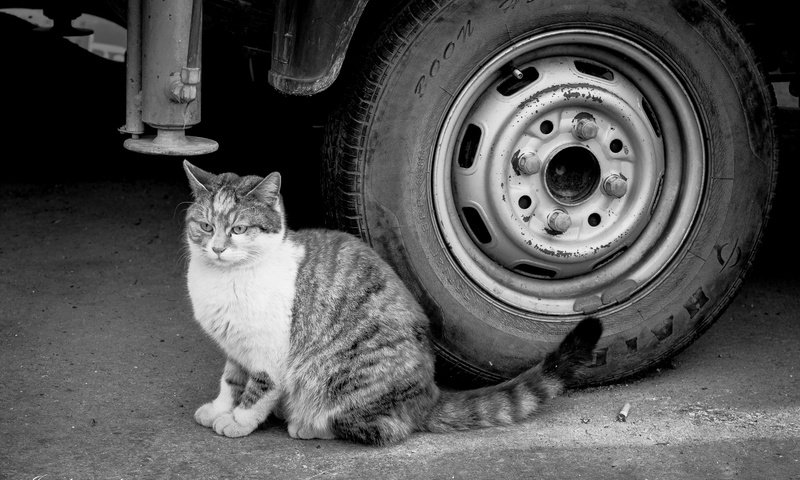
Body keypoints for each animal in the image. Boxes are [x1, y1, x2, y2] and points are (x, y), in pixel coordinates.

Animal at [181, 161, 604, 446]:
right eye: (206, 226)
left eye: (238, 229)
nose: (217, 248)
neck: (225, 280)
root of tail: (430, 394)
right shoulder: (235, 346)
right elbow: (230, 380)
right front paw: (219, 408)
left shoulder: (268, 352)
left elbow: (258, 389)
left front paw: (238, 420)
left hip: (341, 376)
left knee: (384, 429)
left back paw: (308, 424)